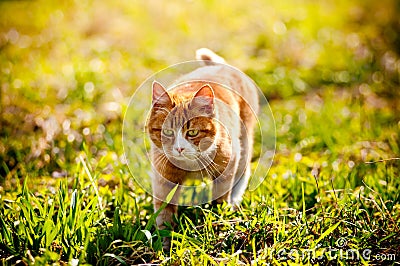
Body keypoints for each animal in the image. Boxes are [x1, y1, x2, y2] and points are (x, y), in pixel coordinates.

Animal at [145, 48, 258, 249]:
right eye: (167, 131)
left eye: (192, 132)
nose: (179, 149)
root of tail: (222, 66)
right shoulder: (163, 177)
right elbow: (164, 212)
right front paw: (165, 244)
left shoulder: (227, 165)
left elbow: (221, 198)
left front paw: (221, 221)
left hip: (244, 145)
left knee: (243, 173)